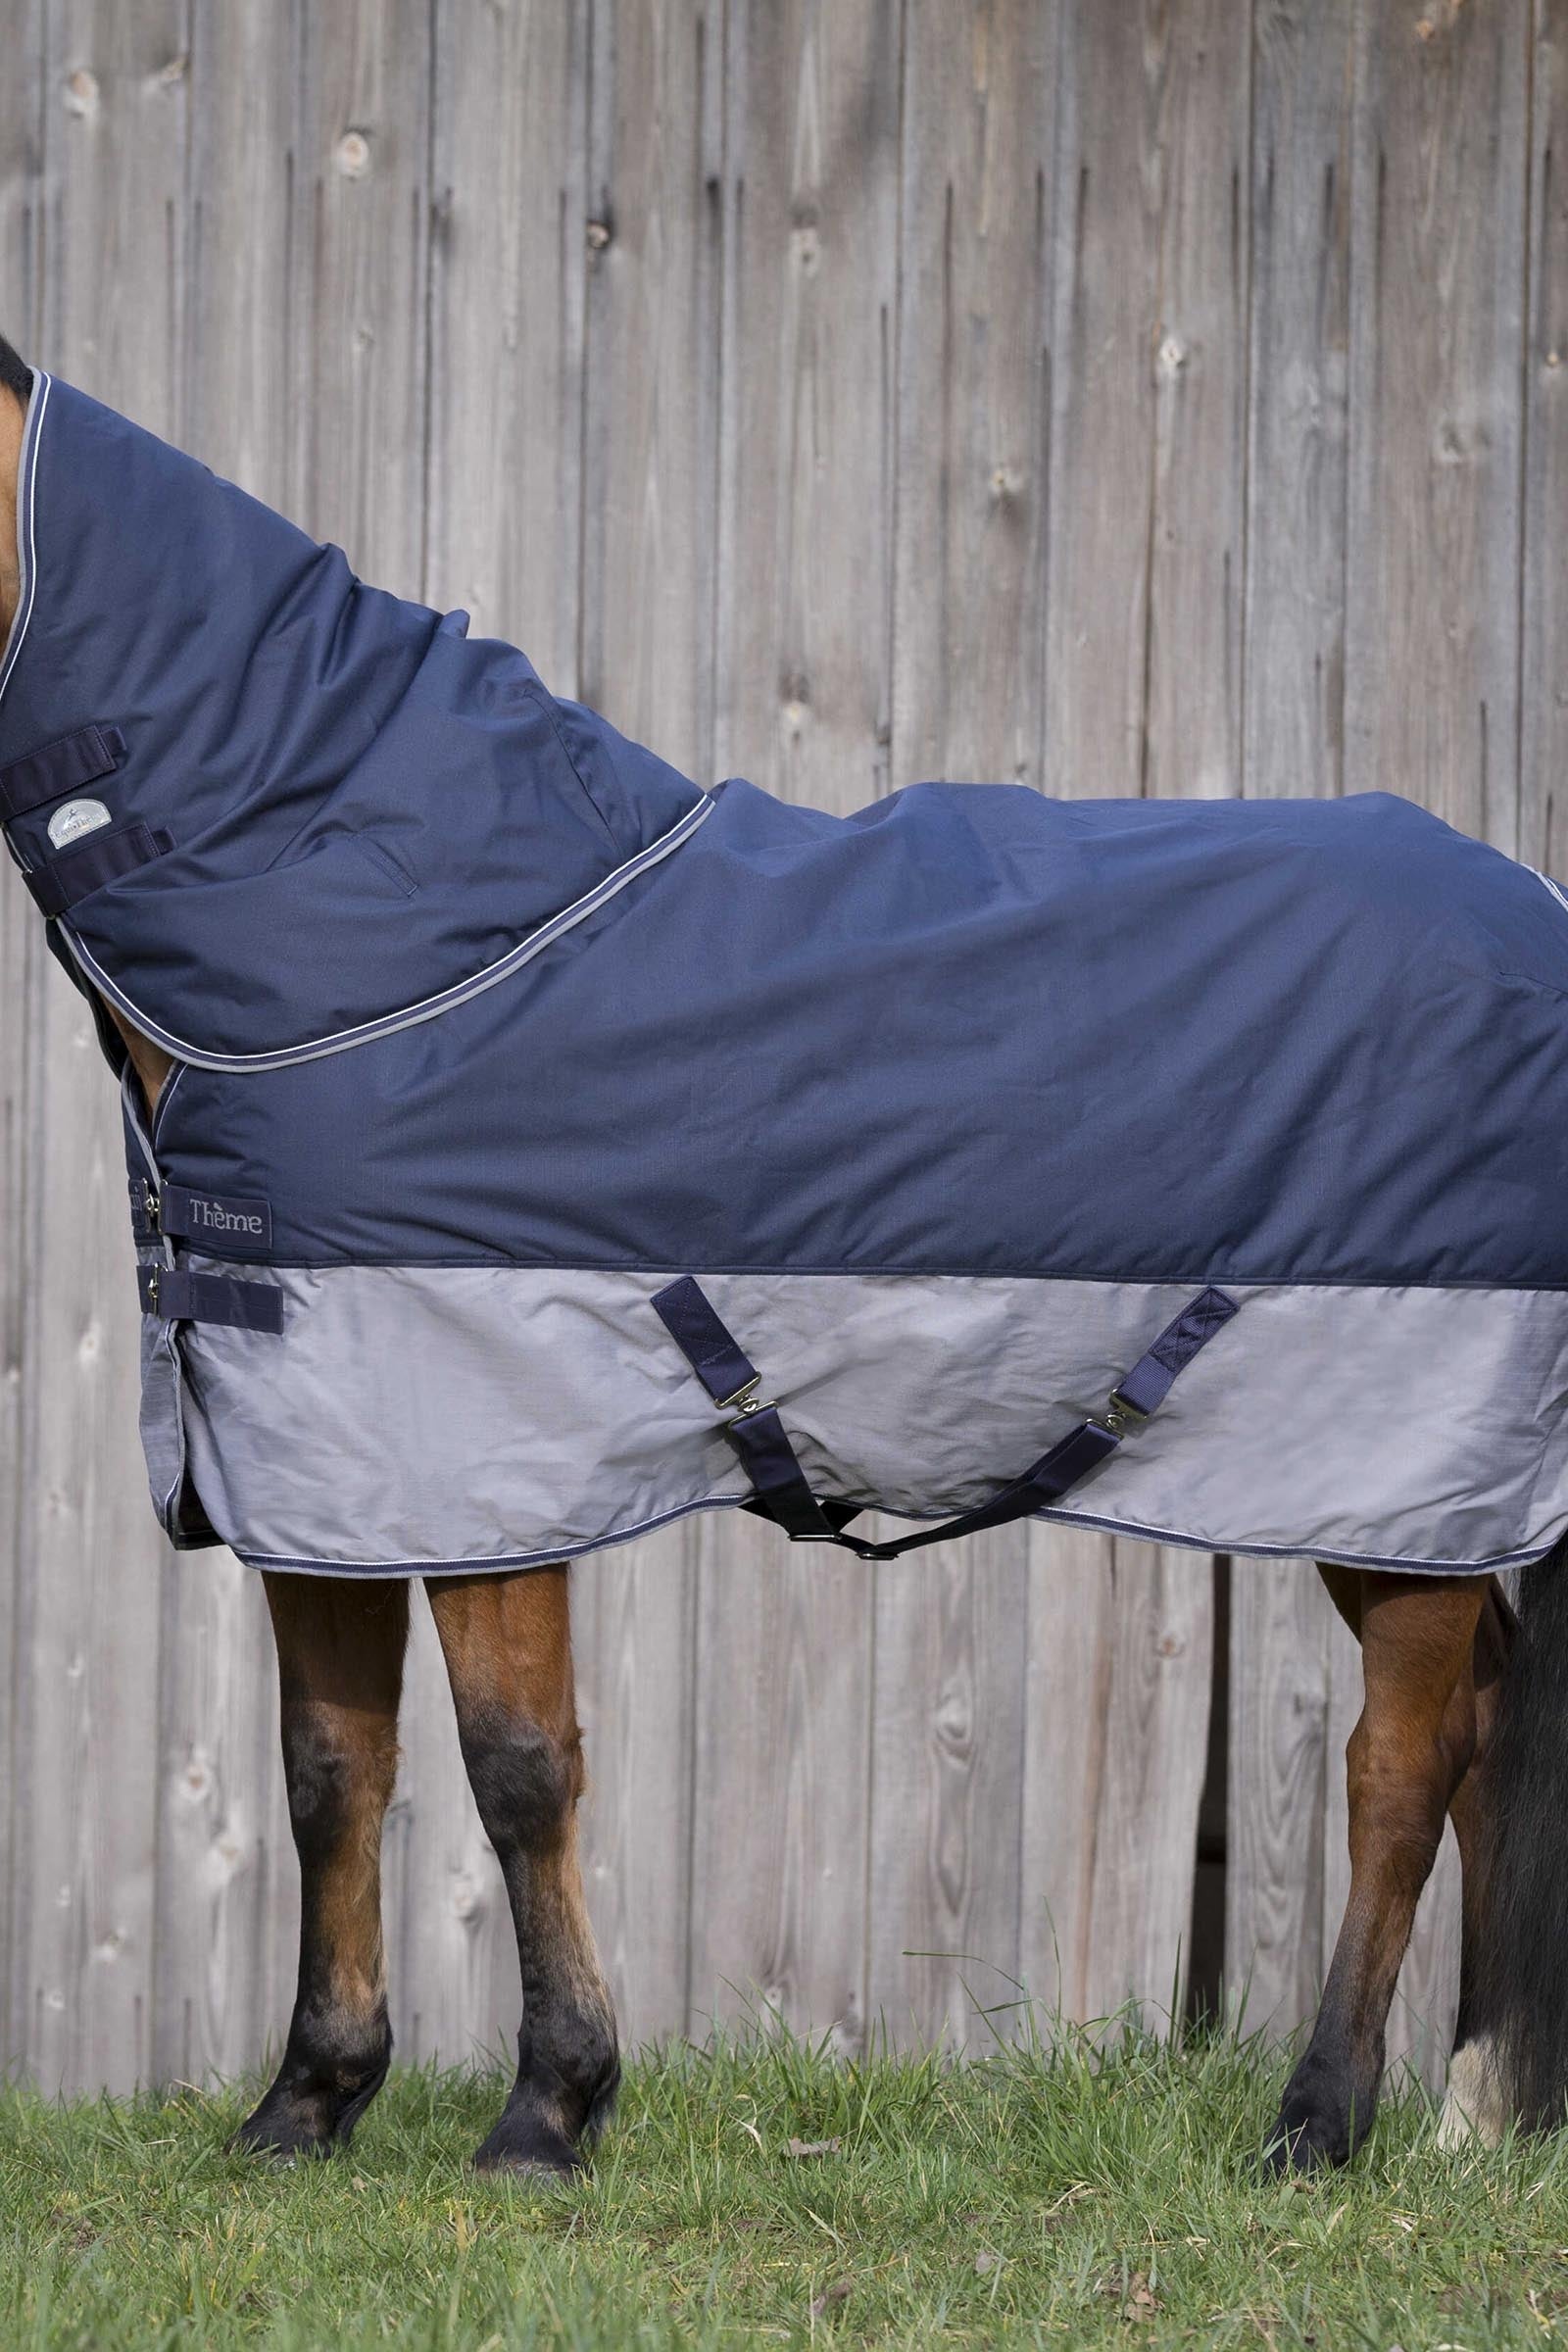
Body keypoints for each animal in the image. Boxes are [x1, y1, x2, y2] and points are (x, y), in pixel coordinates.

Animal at [0, 323, 1560, 2179]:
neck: (387, 941)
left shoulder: (489, 1442)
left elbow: (516, 1765)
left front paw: (549, 2109)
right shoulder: (324, 1455)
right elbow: (330, 1771)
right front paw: (306, 2106)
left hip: (1386, 1469)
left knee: (1400, 1766)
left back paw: (1320, 2122)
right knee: (1487, 1727)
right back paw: (1471, 2107)